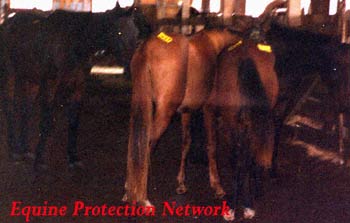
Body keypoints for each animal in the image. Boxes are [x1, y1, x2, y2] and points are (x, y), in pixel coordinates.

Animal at [124, 27, 242, 206]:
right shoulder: (209, 109)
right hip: (164, 112)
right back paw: (142, 197)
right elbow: (212, 145)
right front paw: (217, 186)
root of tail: (147, 48)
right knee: (147, 145)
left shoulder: (186, 111)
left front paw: (181, 183)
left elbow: (186, 143)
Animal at [204, 40, 278, 221]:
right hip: (253, 121)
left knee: (237, 160)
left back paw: (232, 207)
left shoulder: (209, 110)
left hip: (232, 122)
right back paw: (250, 201)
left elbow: (212, 146)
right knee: (249, 156)